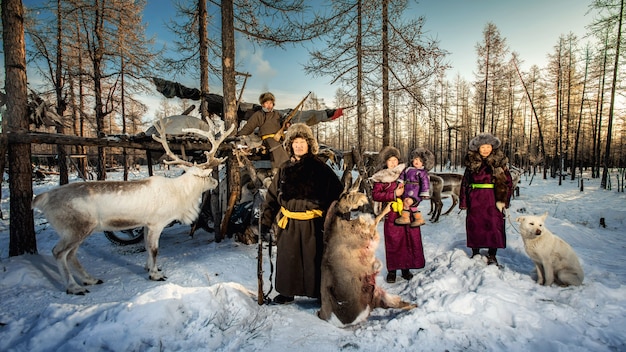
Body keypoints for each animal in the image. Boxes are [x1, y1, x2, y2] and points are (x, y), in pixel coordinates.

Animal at [316, 175, 414, 326]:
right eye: (350, 194)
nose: (365, 198)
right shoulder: (368, 236)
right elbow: (377, 218)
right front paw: (389, 205)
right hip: (375, 296)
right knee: (397, 304)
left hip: (377, 294)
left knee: (401, 303)